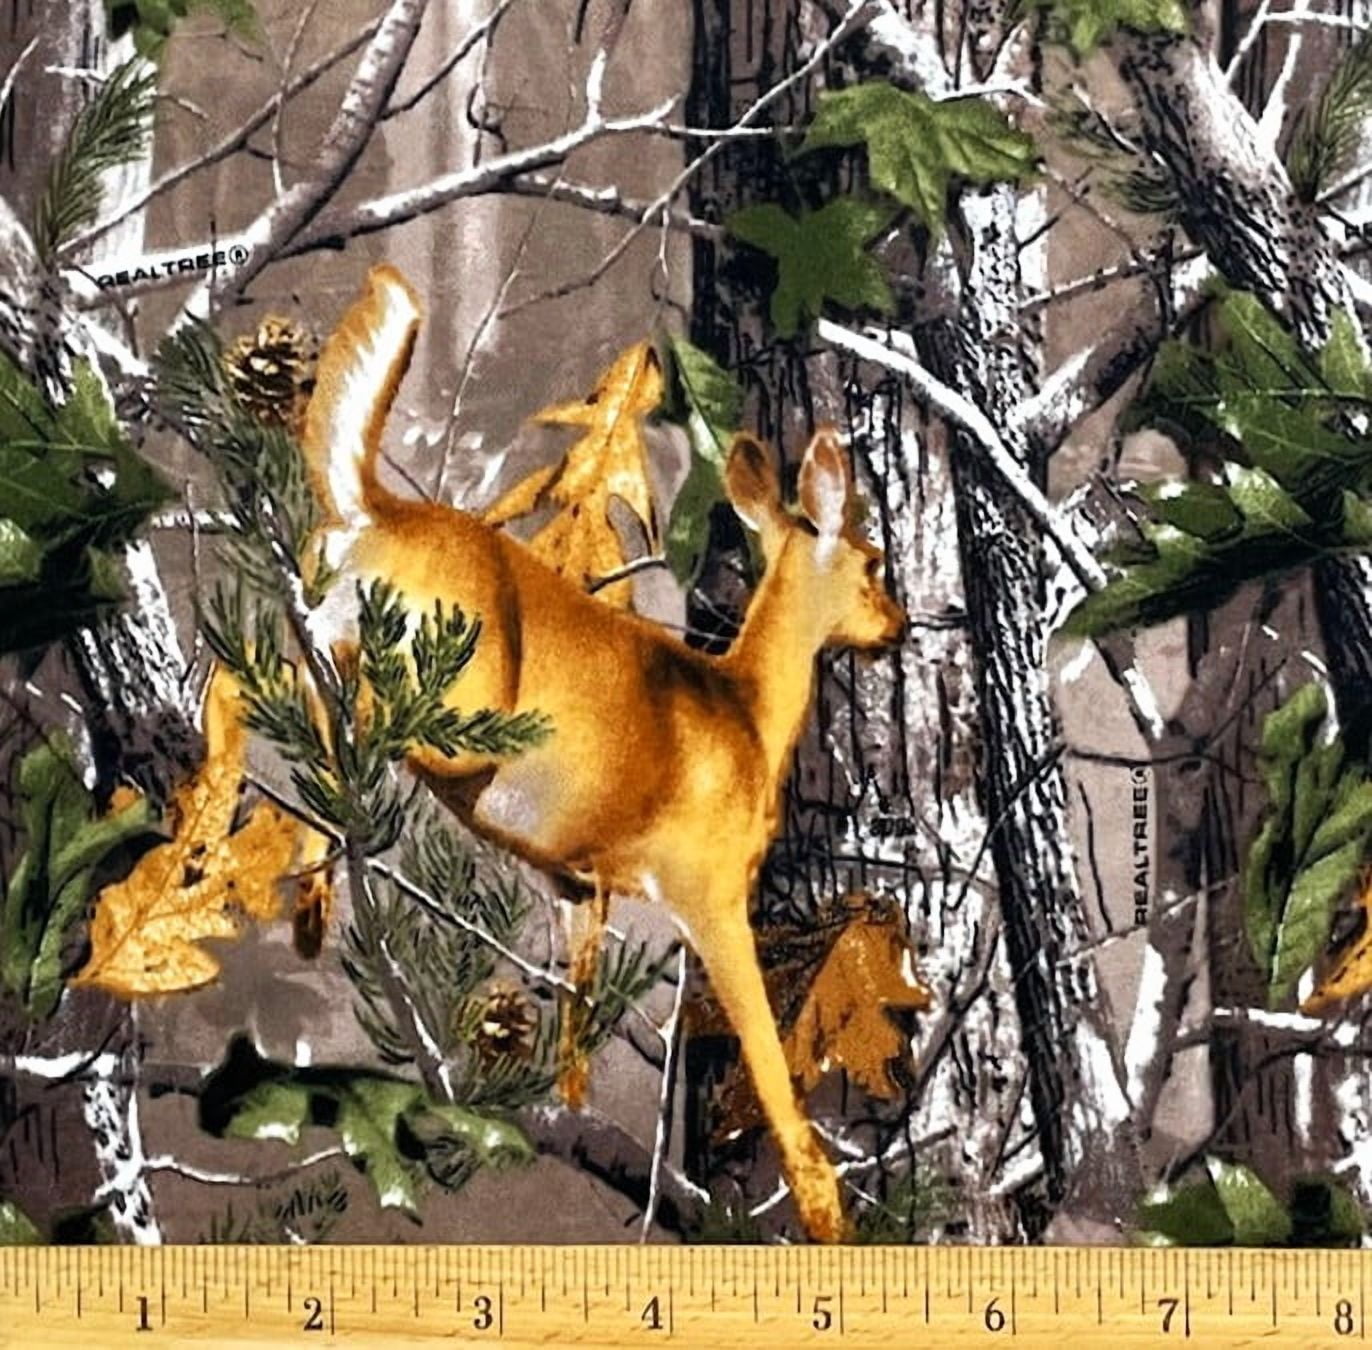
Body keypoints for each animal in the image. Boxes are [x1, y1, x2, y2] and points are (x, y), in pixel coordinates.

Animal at [300, 264, 906, 1242]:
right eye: (874, 561)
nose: (901, 626)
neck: (744, 716)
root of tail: (368, 513)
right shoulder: (707, 888)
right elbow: (765, 1050)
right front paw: (826, 1211)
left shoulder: (578, 879)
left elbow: (580, 1009)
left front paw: (573, 1111)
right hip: (444, 700)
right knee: (340, 723)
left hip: (330, 630)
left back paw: (290, 890)